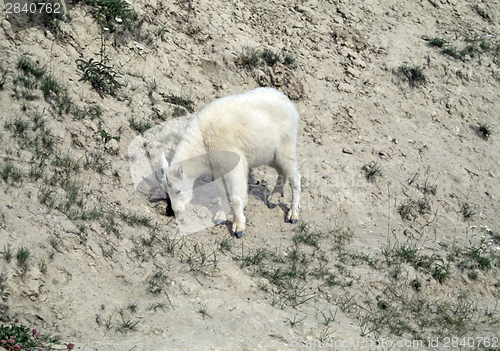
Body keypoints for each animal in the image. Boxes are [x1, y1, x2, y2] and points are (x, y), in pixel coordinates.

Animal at [160, 86, 300, 238]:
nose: (176, 210)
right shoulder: (217, 168)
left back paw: (293, 214)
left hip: (286, 146)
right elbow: (222, 192)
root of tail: (287, 101)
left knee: (295, 178)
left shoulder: (234, 164)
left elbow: (236, 197)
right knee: (282, 171)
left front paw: (239, 227)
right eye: (166, 191)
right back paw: (274, 198)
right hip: (270, 154)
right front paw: (222, 215)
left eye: (178, 190)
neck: (203, 143)